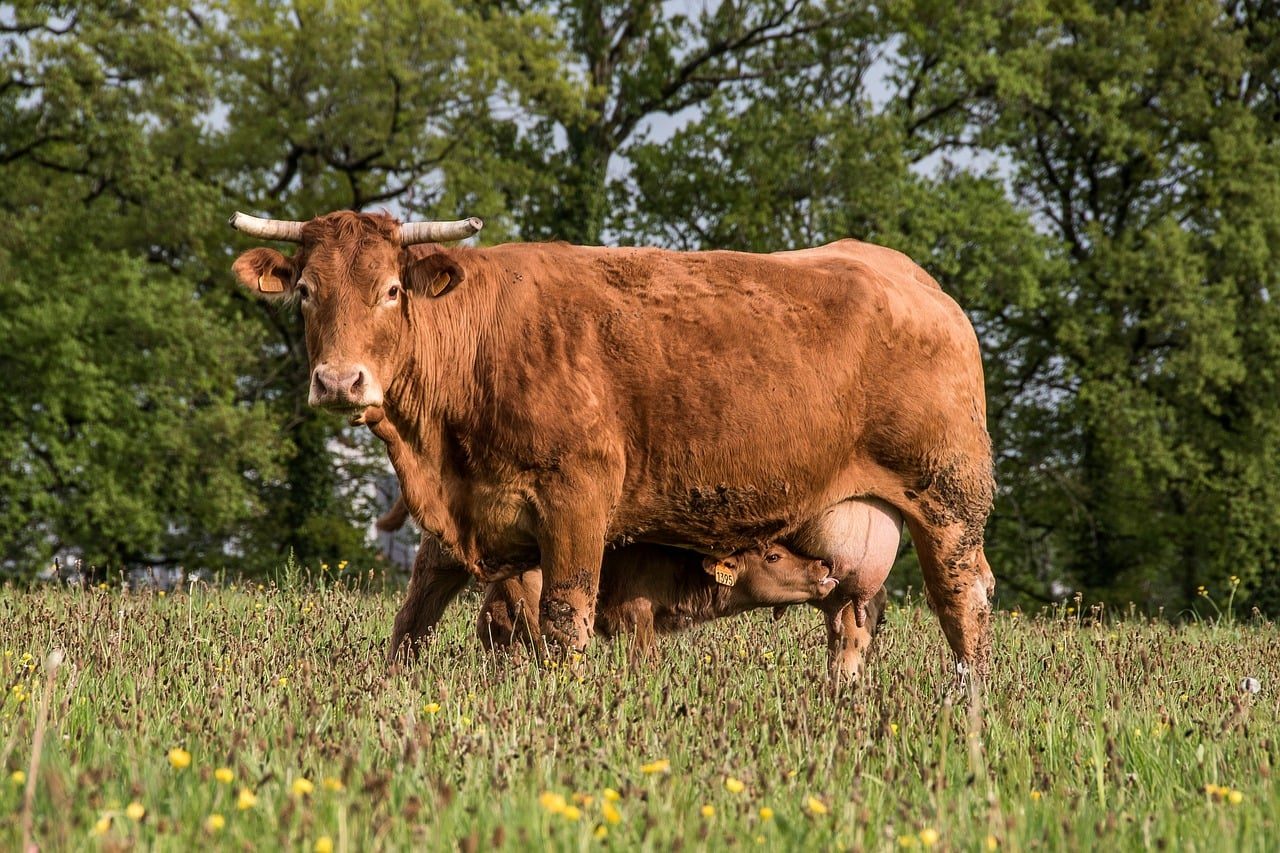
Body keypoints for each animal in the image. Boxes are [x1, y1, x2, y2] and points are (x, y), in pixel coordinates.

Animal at [228, 209, 994, 685]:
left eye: (391, 290)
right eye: (305, 291)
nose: (339, 380)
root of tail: (915, 280)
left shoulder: (576, 502)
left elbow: (565, 619)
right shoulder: (457, 518)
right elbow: (413, 618)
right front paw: (393, 691)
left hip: (949, 502)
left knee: (965, 605)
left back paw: (969, 709)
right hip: (855, 526)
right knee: (853, 618)